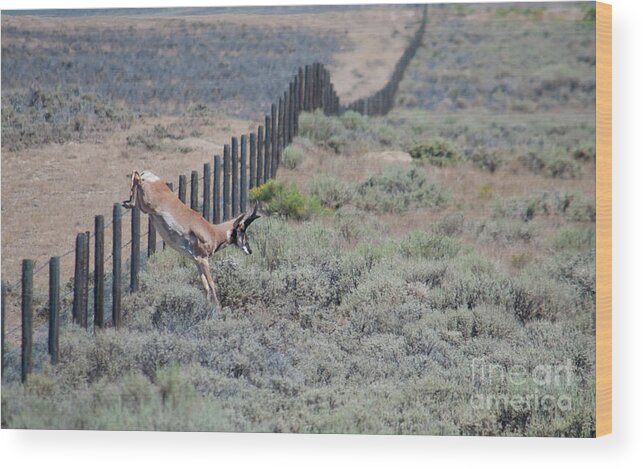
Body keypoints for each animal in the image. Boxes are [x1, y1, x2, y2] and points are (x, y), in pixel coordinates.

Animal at [123, 170, 260, 308]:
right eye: (242, 229)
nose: (250, 250)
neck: (212, 231)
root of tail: (151, 176)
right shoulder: (203, 260)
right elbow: (212, 284)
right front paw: (217, 307)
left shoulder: (196, 261)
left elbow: (205, 286)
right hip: (147, 206)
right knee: (136, 176)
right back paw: (128, 202)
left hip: (145, 207)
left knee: (136, 175)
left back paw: (127, 202)